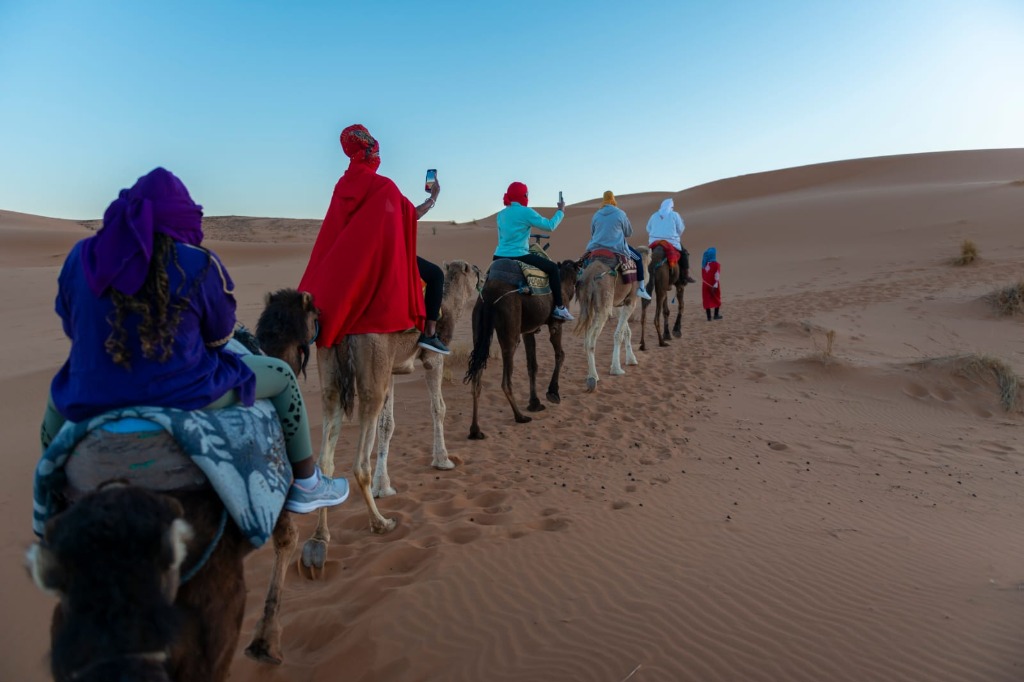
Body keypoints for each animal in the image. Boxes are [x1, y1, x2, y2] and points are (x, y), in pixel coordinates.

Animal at [290, 259, 480, 572]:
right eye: (474, 272)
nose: (482, 273)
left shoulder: (390, 369)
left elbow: (386, 424)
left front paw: (384, 486)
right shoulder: (433, 357)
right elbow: (438, 407)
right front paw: (443, 461)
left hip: (333, 375)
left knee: (326, 458)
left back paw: (318, 541)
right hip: (371, 369)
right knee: (359, 463)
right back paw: (381, 523)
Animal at [464, 257, 579, 440]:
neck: (564, 285)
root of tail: (489, 295)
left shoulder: (528, 331)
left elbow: (532, 365)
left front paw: (535, 403)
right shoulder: (555, 325)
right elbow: (560, 355)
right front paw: (553, 393)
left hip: (479, 326)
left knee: (476, 377)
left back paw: (475, 430)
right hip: (510, 327)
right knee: (505, 380)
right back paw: (520, 416)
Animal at [574, 245, 651, 392]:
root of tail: (589, 276)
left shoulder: (619, 302)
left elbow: (626, 331)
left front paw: (631, 360)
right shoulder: (631, 300)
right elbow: (618, 334)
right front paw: (616, 369)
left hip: (587, 304)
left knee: (586, 337)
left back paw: (592, 376)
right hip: (603, 303)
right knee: (590, 340)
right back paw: (592, 378)